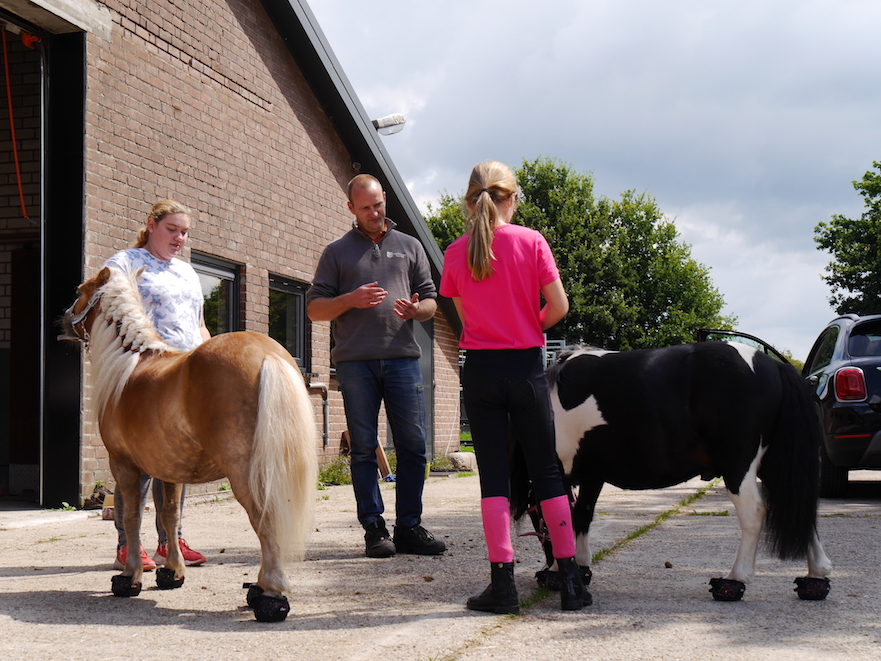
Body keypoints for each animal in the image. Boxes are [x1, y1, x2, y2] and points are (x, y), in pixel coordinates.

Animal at [60, 266, 318, 620]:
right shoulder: (169, 470)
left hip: (245, 474)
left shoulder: (124, 465)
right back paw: (258, 588)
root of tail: (266, 353)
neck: (131, 366)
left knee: (266, 520)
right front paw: (172, 572)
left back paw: (270, 595)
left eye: (79, 290)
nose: (64, 317)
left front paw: (130, 577)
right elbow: (170, 516)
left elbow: (132, 517)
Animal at [508, 342, 832, 600]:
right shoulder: (592, 475)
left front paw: (555, 571)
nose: (547, 568)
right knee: (800, 508)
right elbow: (581, 516)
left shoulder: (561, 471)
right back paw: (815, 578)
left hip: (738, 466)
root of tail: (774, 365)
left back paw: (734, 581)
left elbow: (561, 516)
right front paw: (581, 566)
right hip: (775, 466)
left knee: (754, 513)